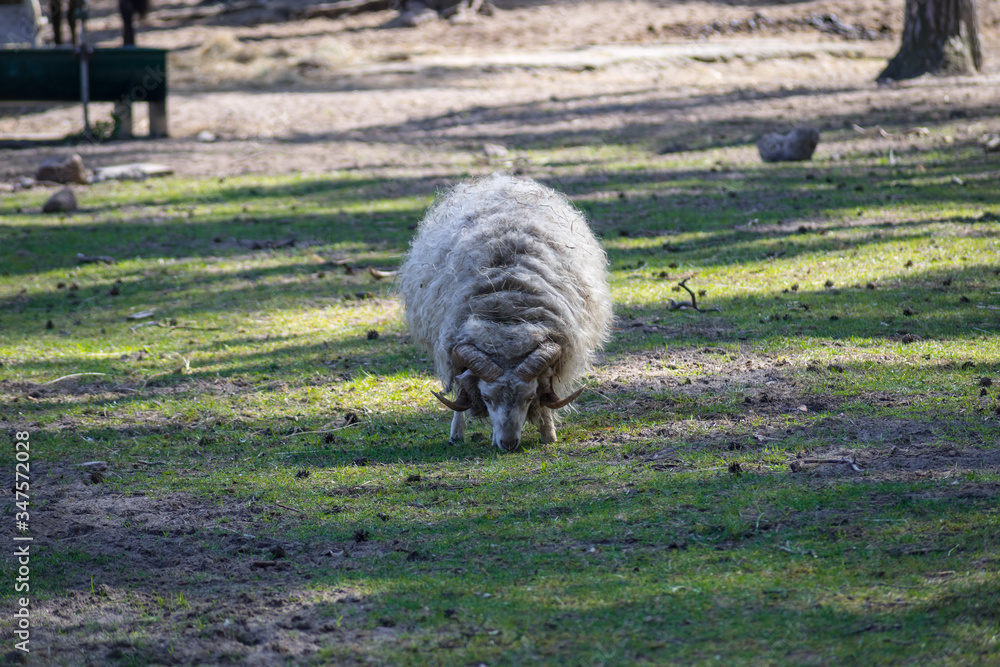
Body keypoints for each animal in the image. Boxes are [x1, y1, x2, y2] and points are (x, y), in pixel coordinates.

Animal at [399, 172, 613, 451]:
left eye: (529, 397)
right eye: (487, 399)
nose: (508, 443)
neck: (509, 316)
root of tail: (499, 178)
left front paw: (548, 433)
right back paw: (457, 434)